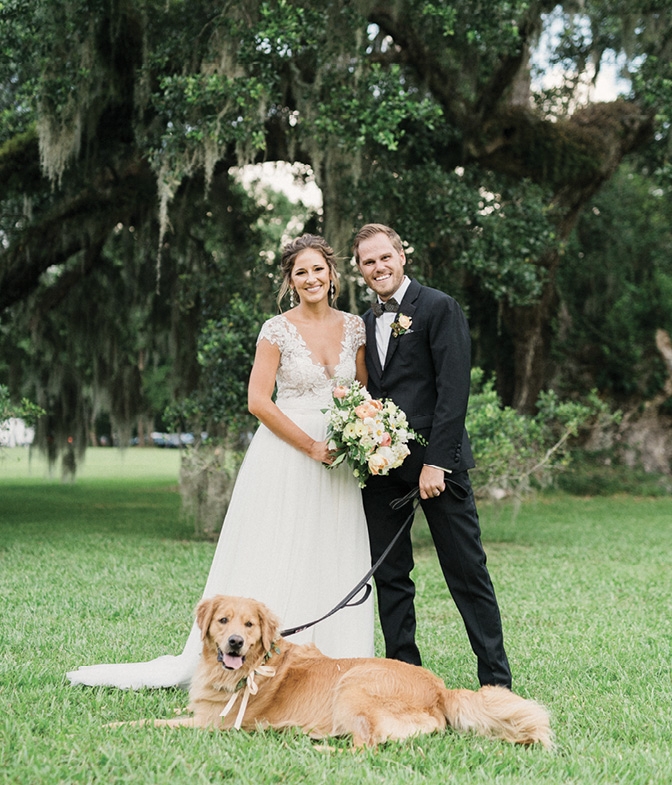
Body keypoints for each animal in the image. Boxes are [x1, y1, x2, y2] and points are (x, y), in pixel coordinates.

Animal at [130, 596, 552, 748]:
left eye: (249, 625)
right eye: (223, 620)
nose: (234, 642)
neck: (252, 666)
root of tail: (440, 689)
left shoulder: (212, 724)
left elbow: (148, 722)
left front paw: (117, 726)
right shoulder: (201, 711)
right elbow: (173, 711)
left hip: (352, 683)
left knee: (365, 746)